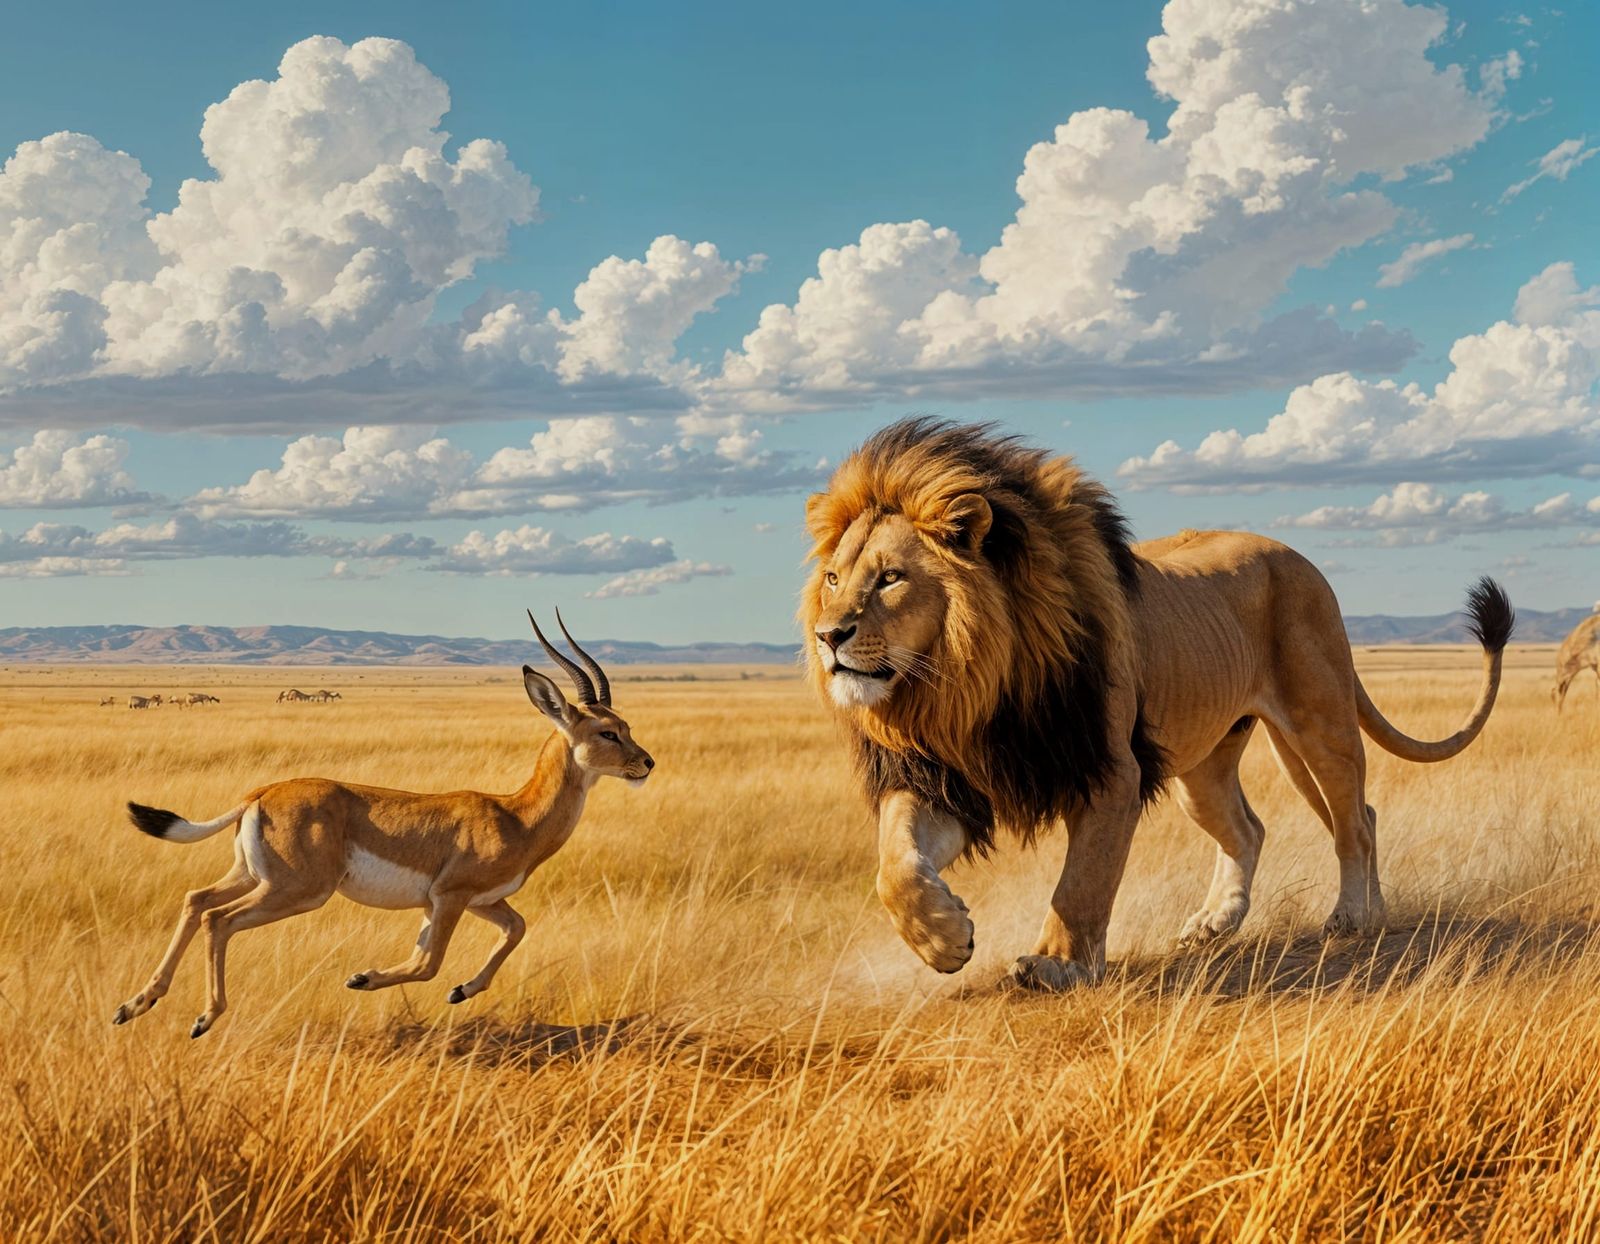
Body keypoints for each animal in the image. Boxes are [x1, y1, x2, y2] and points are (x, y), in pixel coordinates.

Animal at [112, 612, 653, 1039]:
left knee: (195, 900)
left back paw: (134, 1005)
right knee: (217, 919)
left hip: (251, 876)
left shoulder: (477, 901)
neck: (514, 815)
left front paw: (462, 990)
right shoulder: (451, 897)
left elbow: (515, 929)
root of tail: (262, 793)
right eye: (607, 731)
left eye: (626, 725)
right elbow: (428, 963)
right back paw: (203, 1019)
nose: (646, 763)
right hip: (298, 890)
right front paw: (363, 979)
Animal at [802, 419, 1514, 991]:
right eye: (834, 579)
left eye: (891, 578)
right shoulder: (953, 779)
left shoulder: (1112, 772)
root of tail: (1302, 559)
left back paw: (1355, 917)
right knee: (1256, 827)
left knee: (1354, 821)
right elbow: (894, 862)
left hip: (1320, 723)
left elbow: (1083, 881)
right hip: (1203, 765)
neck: (966, 689)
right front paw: (944, 938)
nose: (829, 636)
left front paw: (1056, 965)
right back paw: (1218, 923)